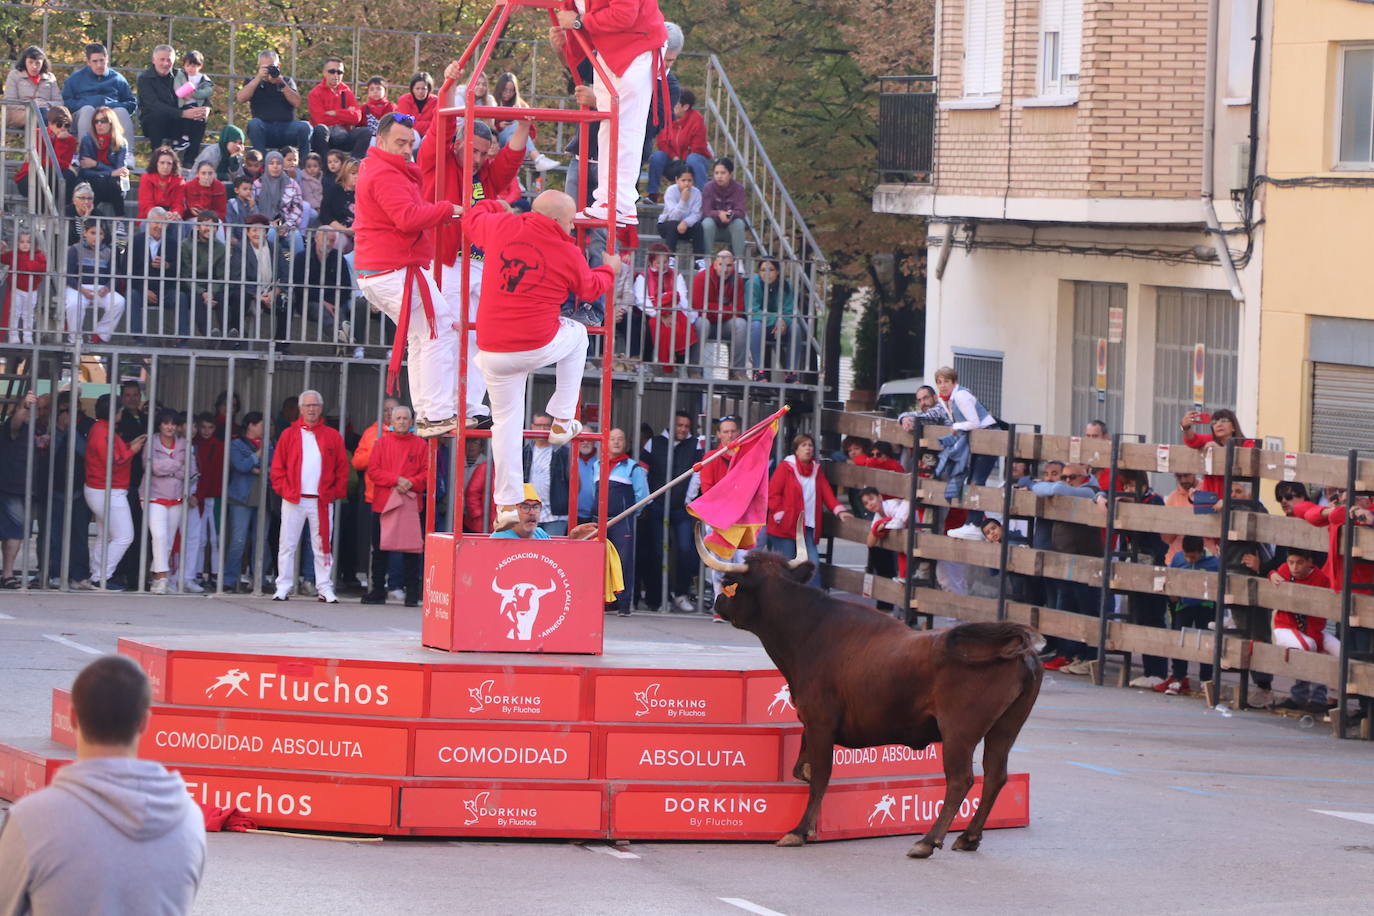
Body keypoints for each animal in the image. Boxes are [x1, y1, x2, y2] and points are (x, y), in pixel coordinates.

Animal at [697, 527, 1038, 856]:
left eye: (729, 583)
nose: (717, 602)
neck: (808, 629)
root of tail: (1013, 647)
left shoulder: (820, 721)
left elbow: (820, 775)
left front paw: (800, 830)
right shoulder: (811, 723)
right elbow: (802, 768)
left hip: (959, 731)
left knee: (960, 779)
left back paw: (928, 841)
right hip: (1005, 727)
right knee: (995, 776)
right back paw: (968, 837)